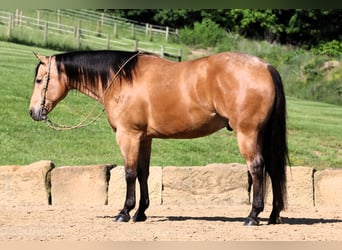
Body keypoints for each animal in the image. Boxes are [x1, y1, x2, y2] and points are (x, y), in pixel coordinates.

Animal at [28, 49, 288, 226]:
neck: (121, 79)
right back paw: (273, 215)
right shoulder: (145, 138)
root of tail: (265, 66)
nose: (33, 112)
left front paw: (124, 212)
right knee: (274, 170)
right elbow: (144, 173)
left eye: (40, 80)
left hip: (248, 134)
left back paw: (252, 216)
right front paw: (141, 213)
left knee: (257, 168)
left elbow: (130, 173)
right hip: (263, 136)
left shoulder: (128, 135)